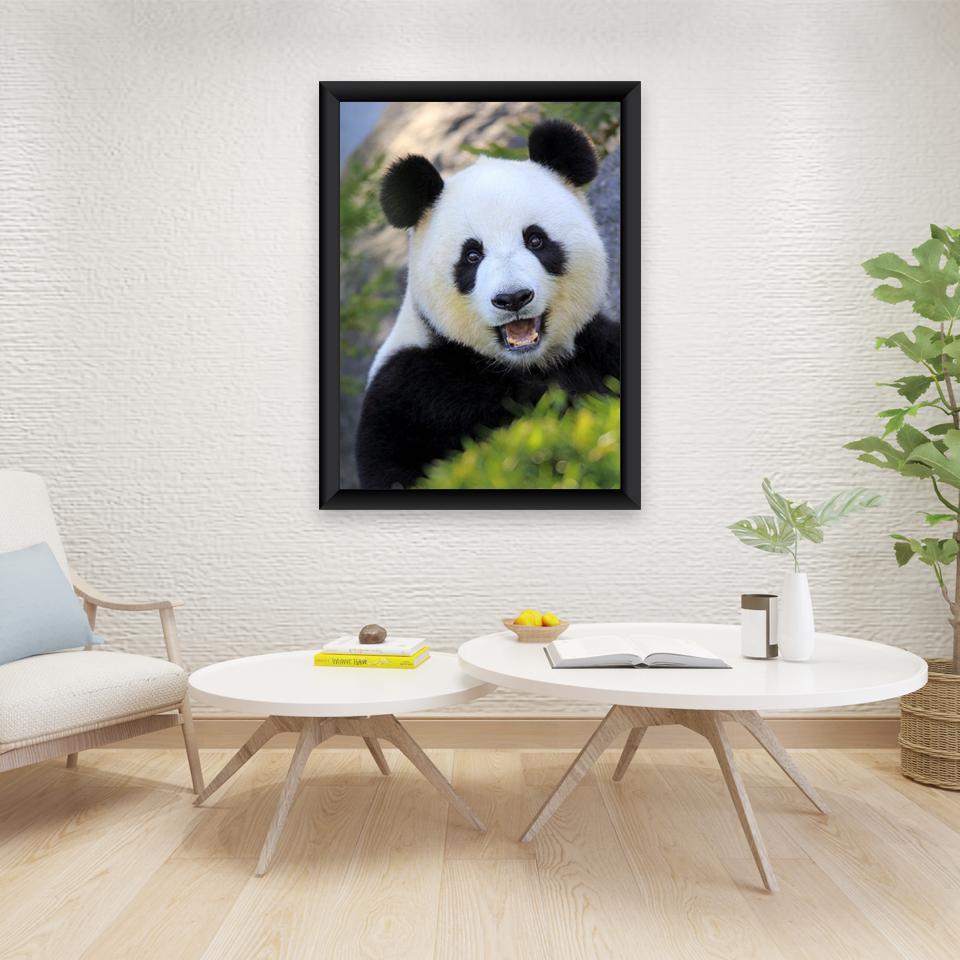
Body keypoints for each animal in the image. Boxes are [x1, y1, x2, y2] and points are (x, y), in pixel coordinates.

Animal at [355, 118, 620, 490]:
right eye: (472, 255)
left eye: (535, 240)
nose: (513, 298)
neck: (524, 363)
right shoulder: (411, 391)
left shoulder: (595, 345)